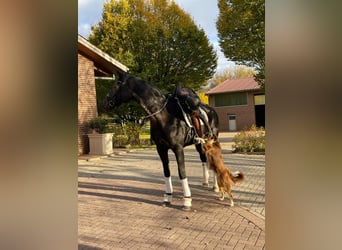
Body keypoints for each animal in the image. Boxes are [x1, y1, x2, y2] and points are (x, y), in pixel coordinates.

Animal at [105, 72, 219, 209]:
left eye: (117, 84)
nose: (107, 101)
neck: (163, 116)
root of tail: (211, 110)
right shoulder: (161, 148)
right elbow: (166, 171)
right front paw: (167, 197)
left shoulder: (178, 148)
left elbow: (181, 172)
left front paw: (187, 200)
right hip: (199, 144)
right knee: (203, 159)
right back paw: (205, 182)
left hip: (212, 141)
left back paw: (216, 187)